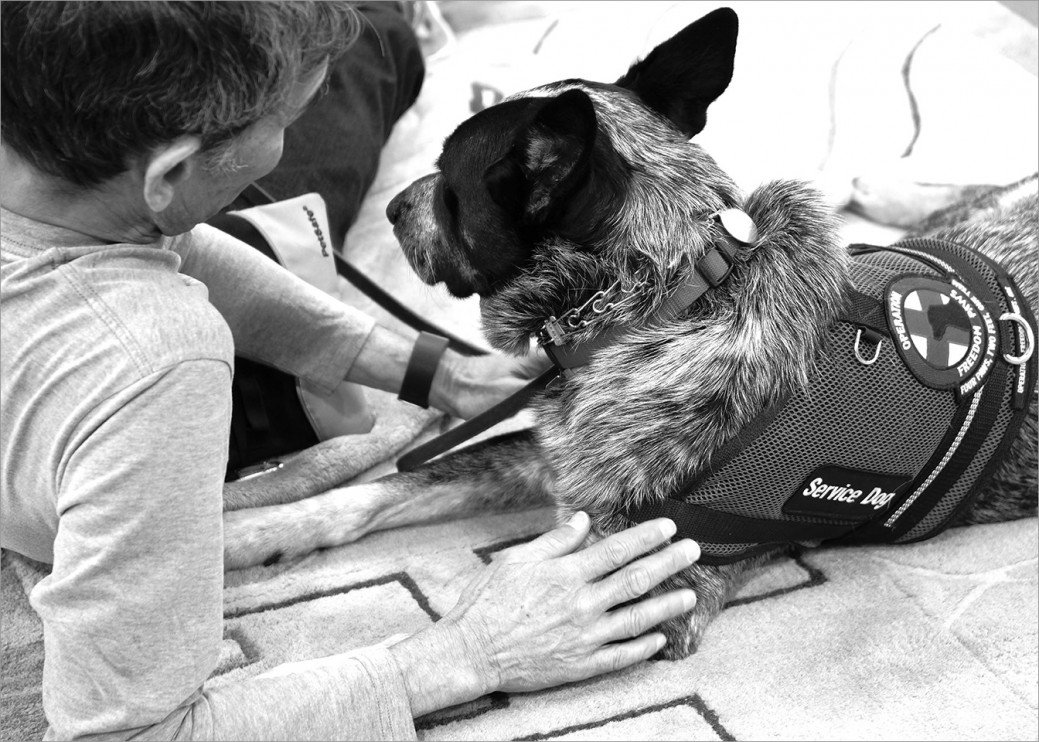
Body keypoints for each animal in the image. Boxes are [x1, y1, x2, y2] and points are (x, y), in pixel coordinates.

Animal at [223, 4, 1034, 652]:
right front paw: (243, 536)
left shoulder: (659, 576)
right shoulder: (550, 458)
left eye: (451, 185)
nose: (393, 209)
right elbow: (368, 494)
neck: (657, 299)